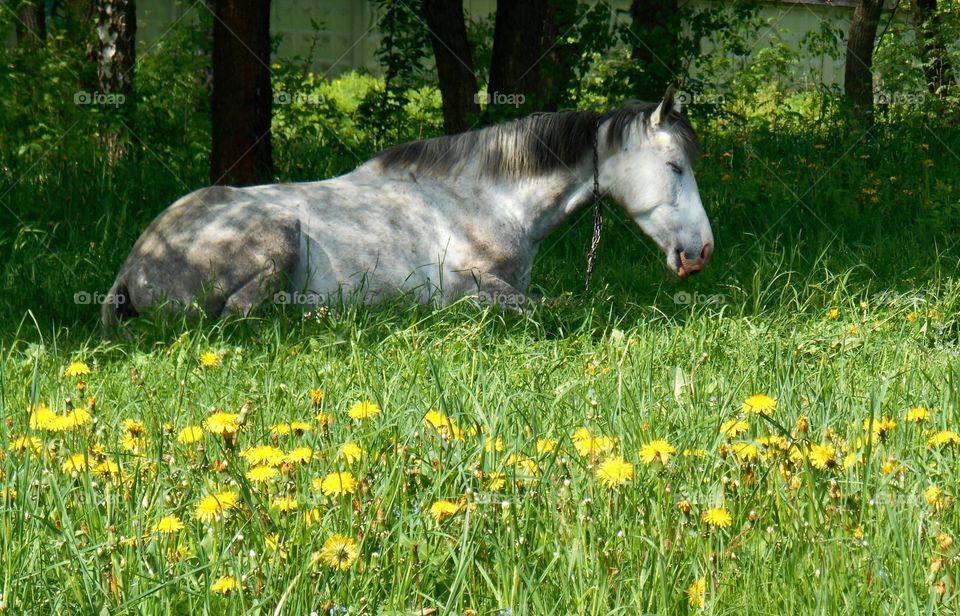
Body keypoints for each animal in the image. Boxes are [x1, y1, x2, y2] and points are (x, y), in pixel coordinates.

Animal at [103, 87, 712, 330]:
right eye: (674, 167)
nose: (700, 251)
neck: (486, 201)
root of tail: (132, 267)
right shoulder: (470, 289)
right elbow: (561, 306)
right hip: (275, 236)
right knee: (244, 314)